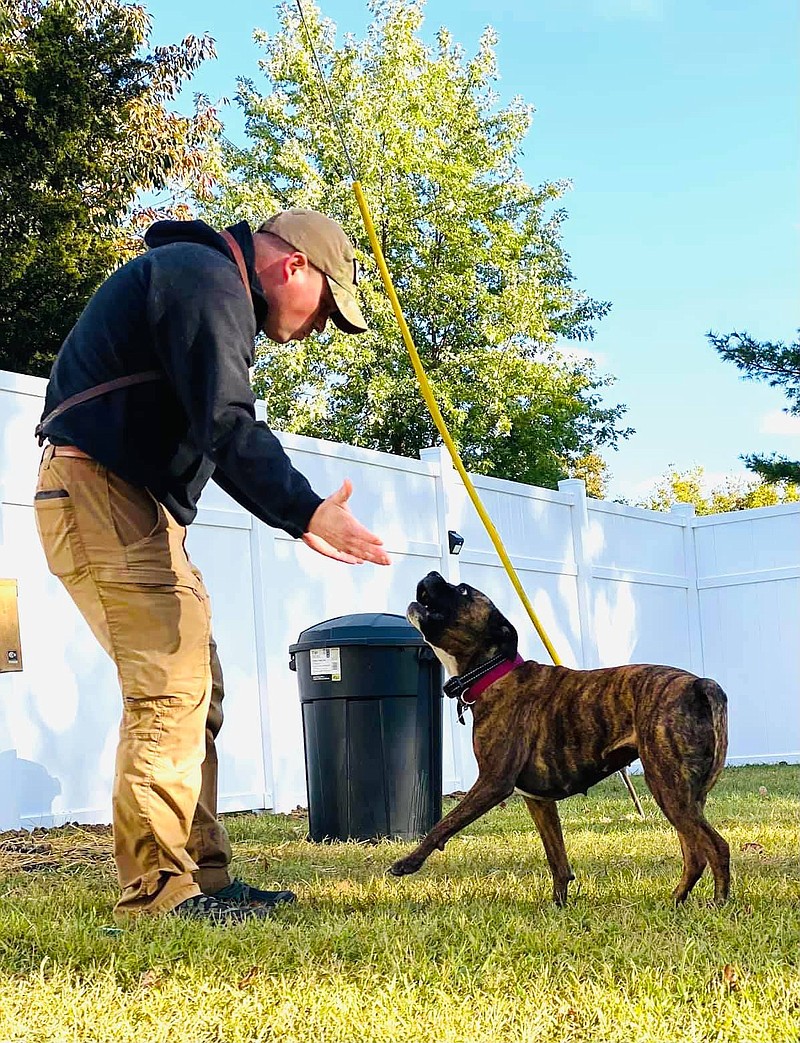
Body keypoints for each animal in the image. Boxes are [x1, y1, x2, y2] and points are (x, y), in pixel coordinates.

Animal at [390, 571, 734, 905]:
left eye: (462, 590)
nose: (433, 573)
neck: (494, 673)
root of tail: (699, 684)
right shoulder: (540, 803)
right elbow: (557, 859)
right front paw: (559, 905)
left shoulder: (492, 783)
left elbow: (442, 825)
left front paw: (409, 862)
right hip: (682, 796)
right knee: (695, 853)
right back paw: (676, 900)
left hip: (669, 788)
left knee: (716, 846)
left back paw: (718, 902)